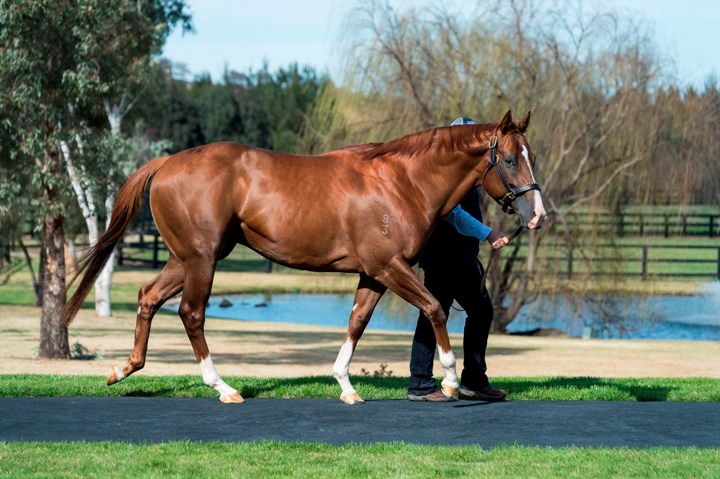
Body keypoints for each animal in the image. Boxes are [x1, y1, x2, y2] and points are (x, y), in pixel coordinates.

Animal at [64, 109, 546, 404]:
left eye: (531, 156)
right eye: (508, 159)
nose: (537, 214)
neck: (401, 182)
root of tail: (165, 163)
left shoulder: (373, 274)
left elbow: (356, 322)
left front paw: (346, 386)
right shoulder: (391, 267)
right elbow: (434, 310)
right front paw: (449, 381)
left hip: (184, 258)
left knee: (148, 297)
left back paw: (124, 369)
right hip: (202, 259)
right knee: (191, 313)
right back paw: (222, 387)